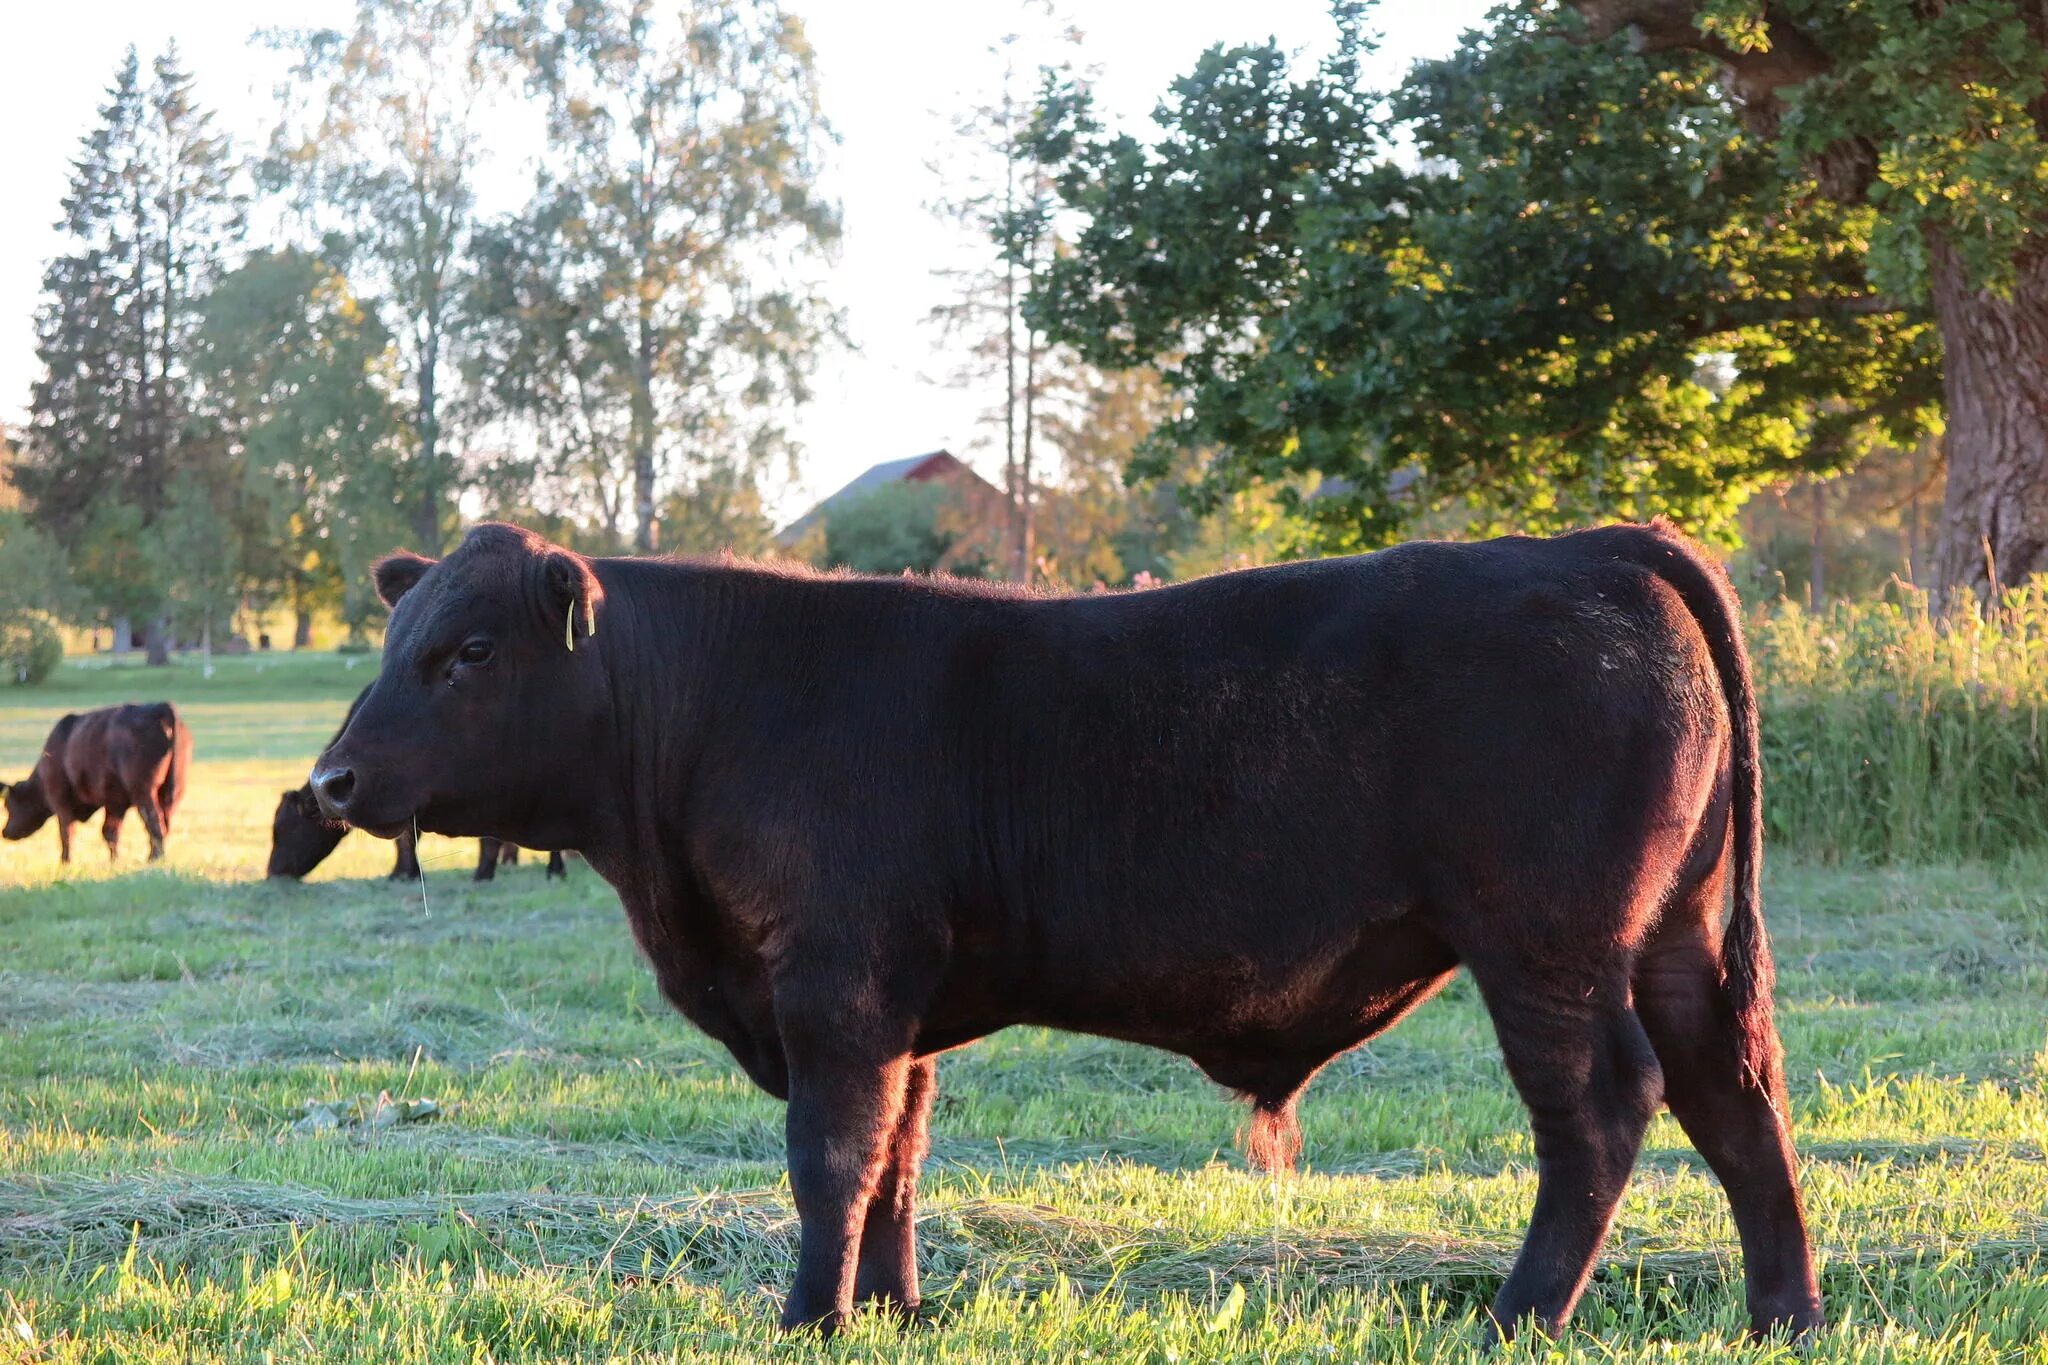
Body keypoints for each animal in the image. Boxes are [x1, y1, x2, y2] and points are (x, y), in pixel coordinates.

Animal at [2, 703, 194, 863]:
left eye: (8, 806)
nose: (4, 832)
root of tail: (161, 706)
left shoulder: (61, 802)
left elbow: (67, 833)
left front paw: (65, 862)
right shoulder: (115, 803)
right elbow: (110, 832)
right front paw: (114, 861)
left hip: (144, 791)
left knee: (155, 823)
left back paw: (153, 859)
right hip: (173, 791)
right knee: (165, 824)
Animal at [311, 517, 1818, 1342]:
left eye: (470, 652)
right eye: (395, 640)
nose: (332, 780)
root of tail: (1581, 546)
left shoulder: (834, 989)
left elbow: (830, 1160)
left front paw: (807, 1316)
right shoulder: (900, 1009)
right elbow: (898, 1161)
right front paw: (893, 1311)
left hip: (1548, 946)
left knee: (1603, 1112)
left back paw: (1514, 1321)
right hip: (1674, 942)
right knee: (1737, 1101)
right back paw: (1781, 1321)